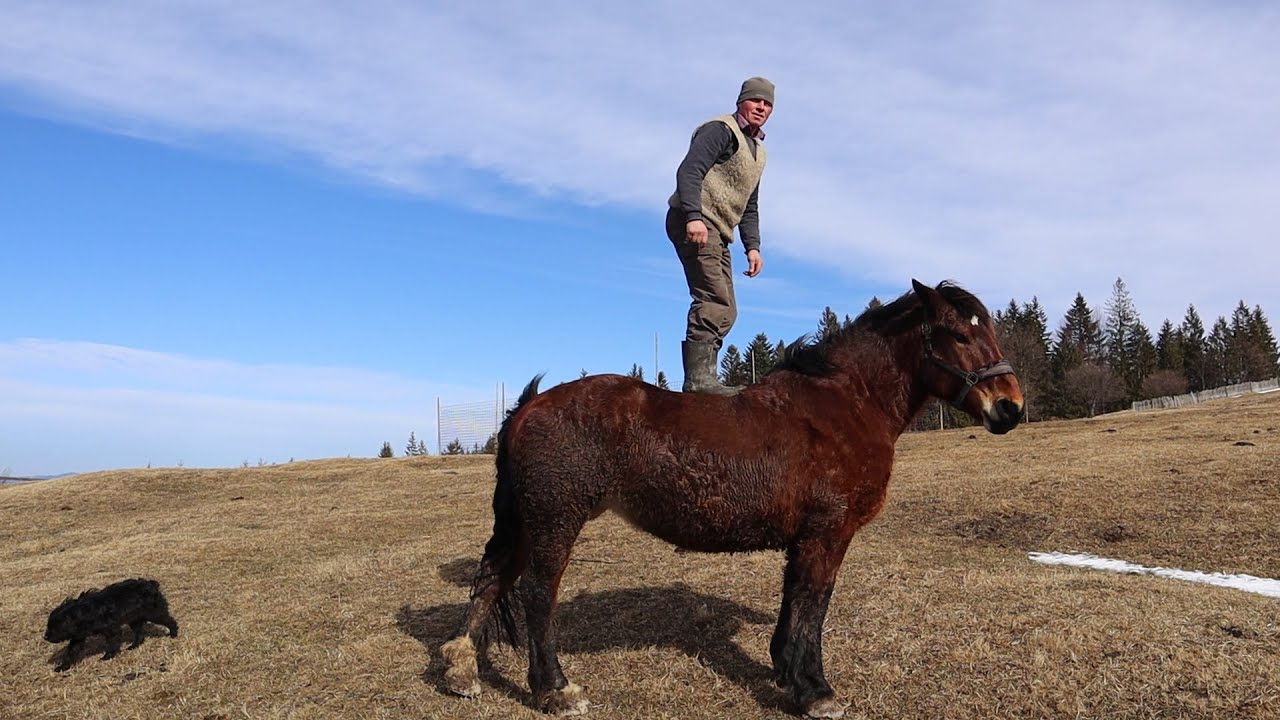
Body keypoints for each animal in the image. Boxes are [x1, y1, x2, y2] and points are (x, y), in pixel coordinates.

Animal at [439, 279, 1024, 718]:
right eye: (957, 334)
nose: (1010, 407)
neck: (843, 404)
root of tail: (529, 406)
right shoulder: (827, 533)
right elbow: (814, 604)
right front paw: (814, 690)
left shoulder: (803, 539)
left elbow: (795, 602)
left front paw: (785, 670)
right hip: (555, 521)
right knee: (537, 594)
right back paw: (554, 689)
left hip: (527, 522)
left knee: (492, 579)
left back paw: (462, 668)